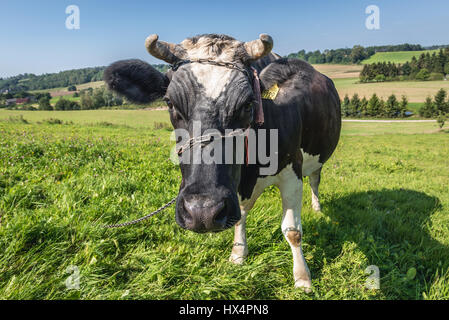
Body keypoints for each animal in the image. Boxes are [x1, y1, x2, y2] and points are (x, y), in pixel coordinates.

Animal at [103, 33, 340, 292]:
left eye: (248, 104)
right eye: (170, 103)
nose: (202, 212)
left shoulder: (292, 170)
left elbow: (292, 230)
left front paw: (303, 278)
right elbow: (241, 216)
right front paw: (238, 254)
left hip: (317, 159)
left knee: (315, 181)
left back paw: (317, 208)